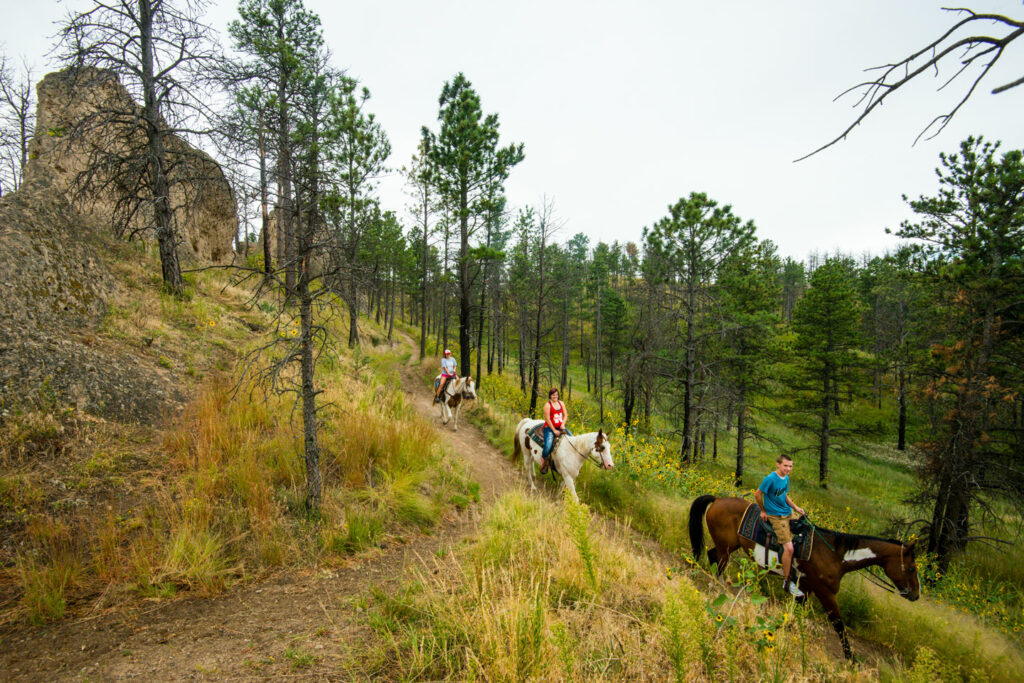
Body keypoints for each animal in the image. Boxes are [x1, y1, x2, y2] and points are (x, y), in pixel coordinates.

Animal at [688, 493, 921, 659]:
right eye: (911, 568)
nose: (915, 595)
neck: (835, 555)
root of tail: (718, 499)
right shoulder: (825, 593)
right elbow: (839, 626)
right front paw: (851, 659)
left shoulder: (805, 589)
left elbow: (794, 614)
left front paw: (781, 629)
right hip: (726, 547)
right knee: (718, 564)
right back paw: (719, 590)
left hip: (727, 546)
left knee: (712, 556)